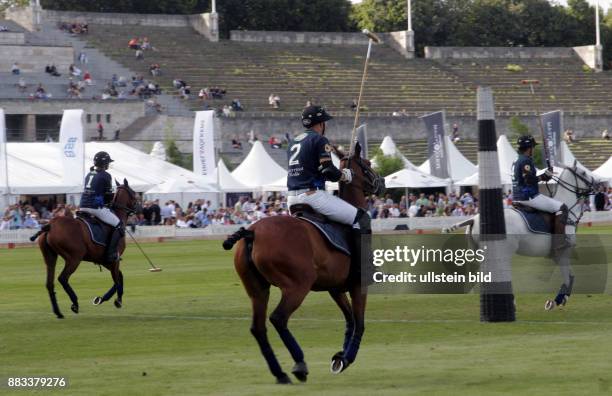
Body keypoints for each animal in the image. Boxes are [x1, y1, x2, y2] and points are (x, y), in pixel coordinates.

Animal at [30, 179, 139, 318]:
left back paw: (58, 312)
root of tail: (49, 225)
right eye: (134, 193)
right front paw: (117, 300)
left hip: (50, 257)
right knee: (62, 278)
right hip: (74, 258)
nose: (138, 209)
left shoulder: (104, 260)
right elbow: (117, 279)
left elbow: (119, 276)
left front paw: (101, 299)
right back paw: (75, 303)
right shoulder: (114, 259)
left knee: (49, 283)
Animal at [220, 144, 382, 386]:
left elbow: (350, 321)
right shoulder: (357, 285)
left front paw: (339, 357)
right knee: (278, 318)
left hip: (257, 289)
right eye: (367, 164)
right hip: (297, 285)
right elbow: (359, 322)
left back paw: (280, 373)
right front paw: (346, 359)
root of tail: (252, 232)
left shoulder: (335, 288)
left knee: (258, 327)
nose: (382, 182)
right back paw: (299, 365)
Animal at [442, 163, 600, 310]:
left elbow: (571, 276)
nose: (598, 184)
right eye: (583, 173)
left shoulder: (557, 254)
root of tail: (473, 219)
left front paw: (560, 299)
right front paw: (556, 301)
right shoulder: (562, 251)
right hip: (502, 251)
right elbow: (568, 278)